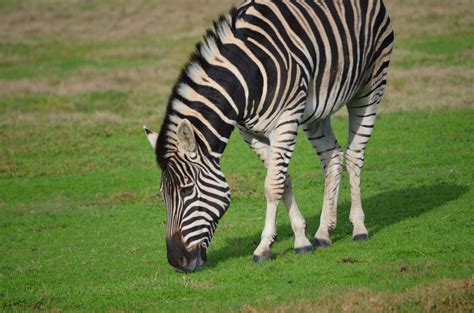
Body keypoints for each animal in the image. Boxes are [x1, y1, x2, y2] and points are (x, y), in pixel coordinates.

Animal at [143, 0, 394, 270]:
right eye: (162, 195)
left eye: (187, 190)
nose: (176, 261)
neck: (245, 76)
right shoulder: (249, 132)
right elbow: (283, 179)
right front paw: (302, 238)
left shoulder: (285, 119)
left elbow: (272, 185)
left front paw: (264, 247)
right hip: (315, 109)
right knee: (332, 157)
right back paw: (323, 232)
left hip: (371, 84)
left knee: (354, 154)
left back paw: (359, 227)